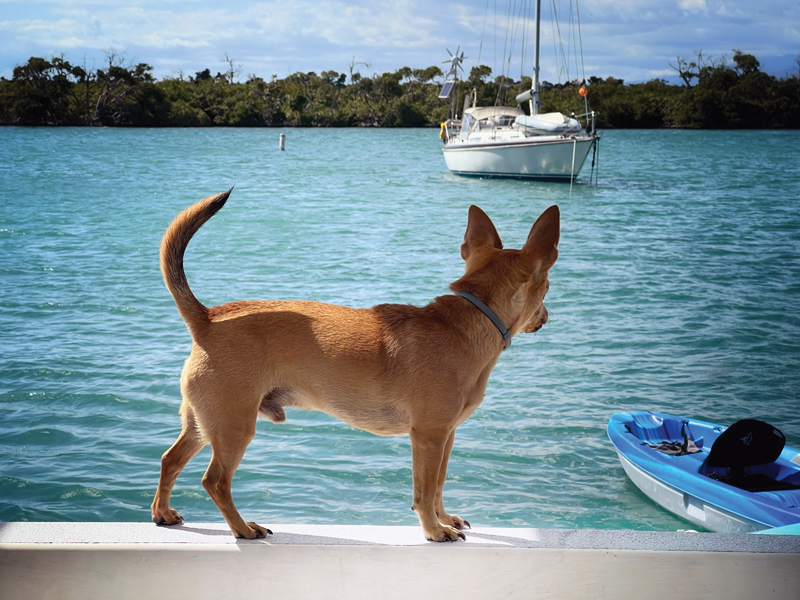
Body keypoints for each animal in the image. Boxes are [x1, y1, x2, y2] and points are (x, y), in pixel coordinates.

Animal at [152, 192, 564, 544]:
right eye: (547, 287)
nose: (547, 315)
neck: (469, 319)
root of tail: (207, 318)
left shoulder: (446, 436)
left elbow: (439, 484)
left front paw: (444, 518)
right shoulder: (429, 436)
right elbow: (424, 490)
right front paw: (434, 530)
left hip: (204, 422)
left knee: (170, 459)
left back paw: (163, 513)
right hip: (234, 426)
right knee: (215, 481)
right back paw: (242, 528)